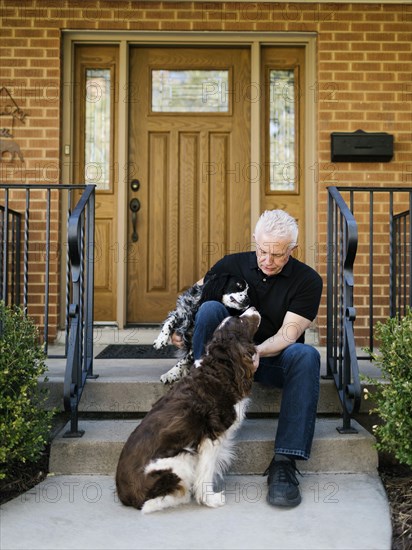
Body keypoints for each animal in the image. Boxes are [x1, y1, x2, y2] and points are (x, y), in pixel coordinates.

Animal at [114, 308, 260, 516]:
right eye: (240, 321)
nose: (253, 308)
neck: (220, 368)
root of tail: (124, 495)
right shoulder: (210, 437)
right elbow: (206, 471)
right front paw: (210, 499)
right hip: (181, 459)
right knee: (150, 503)